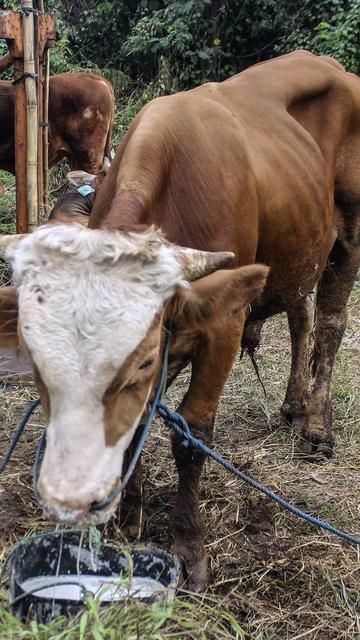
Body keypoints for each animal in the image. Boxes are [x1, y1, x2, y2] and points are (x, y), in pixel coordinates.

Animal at [0, 51, 360, 592]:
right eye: (40, 364)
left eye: (142, 362)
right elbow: (136, 424)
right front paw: (128, 513)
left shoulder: (223, 324)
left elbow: (191, 436)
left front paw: (189, 549)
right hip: (300, 248)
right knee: (301, 315)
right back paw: (294, 405)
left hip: (350, 235)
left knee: (332, 324)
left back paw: (317, 426)